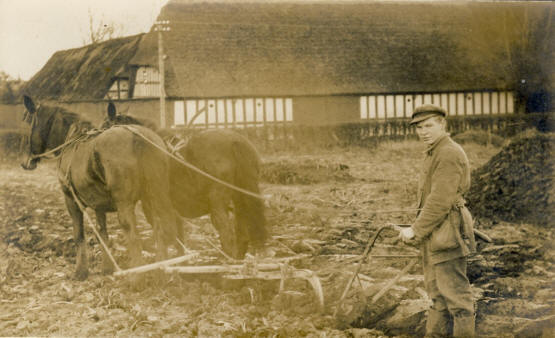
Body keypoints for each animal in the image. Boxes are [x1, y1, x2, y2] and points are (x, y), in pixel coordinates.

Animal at [20, 95, 181, 280]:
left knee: (133, 235)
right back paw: (161, 271)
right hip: (155, 196)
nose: (25, 162)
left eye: (27, 122)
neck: (70, 142)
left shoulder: (71, 200)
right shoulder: (99, 205)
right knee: (160, 229)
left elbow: (79, 235)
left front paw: (80, 271)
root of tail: (137, 137)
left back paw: (135, 277)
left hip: (125, 204)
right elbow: (102, 234)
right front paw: (107, 268)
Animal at [105, 104, 272, 258]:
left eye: (105, 127)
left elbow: (166, 233)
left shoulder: (152, 204)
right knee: (242, 228)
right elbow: (177, 234)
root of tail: (235, 142)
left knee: (224, 228)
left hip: (218, 200)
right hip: (240, 196)